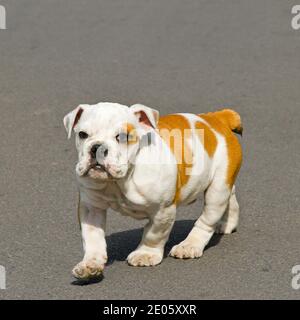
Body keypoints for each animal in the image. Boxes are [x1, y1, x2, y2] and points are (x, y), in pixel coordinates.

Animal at [62, 103, 241, 280]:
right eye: (82, 135)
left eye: (122, 137)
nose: (97, 148)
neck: (120, 181)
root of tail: (216, 118)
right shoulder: (91, 208)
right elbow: (92, 236)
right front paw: (90, 263)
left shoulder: (163, 210)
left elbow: (154, 234)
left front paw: (145, 254)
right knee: (230, 196)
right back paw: (226, 223)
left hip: (217, 188)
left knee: (207, 219)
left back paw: (189, 245)